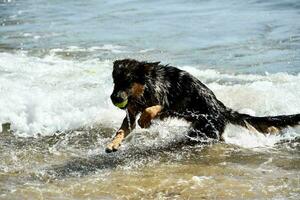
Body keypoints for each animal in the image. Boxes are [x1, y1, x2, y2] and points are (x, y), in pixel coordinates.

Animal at [105, 58, 300, 152]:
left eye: (127, 82)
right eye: (115, 82)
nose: (113, 98)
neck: (145, 87)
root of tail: (222, 109)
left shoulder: (170, 103)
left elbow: (154, 108)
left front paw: (145, 120)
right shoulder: (130, 113)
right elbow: (122, 130)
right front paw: (113, 144)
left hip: (203, 130)